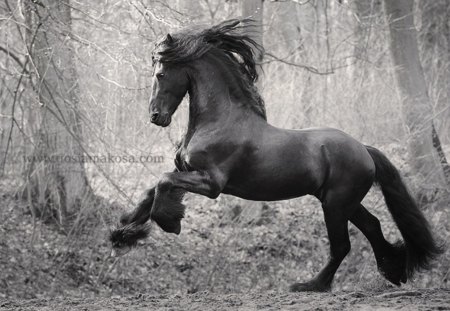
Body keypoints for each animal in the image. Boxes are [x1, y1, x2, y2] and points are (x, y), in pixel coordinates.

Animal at [110, 19, 442, 292]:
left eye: (161, 73)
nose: (156, 117)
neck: (220, 120)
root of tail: (365, 150)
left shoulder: (212, 183)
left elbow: (163, 183)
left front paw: (169, 222)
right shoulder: (187, 172)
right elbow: (151, 191)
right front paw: (122, 235)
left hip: (336, 204)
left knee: (342, 246)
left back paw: (311, 285)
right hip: (342, 201)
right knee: (372, 226)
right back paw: (393, 271)